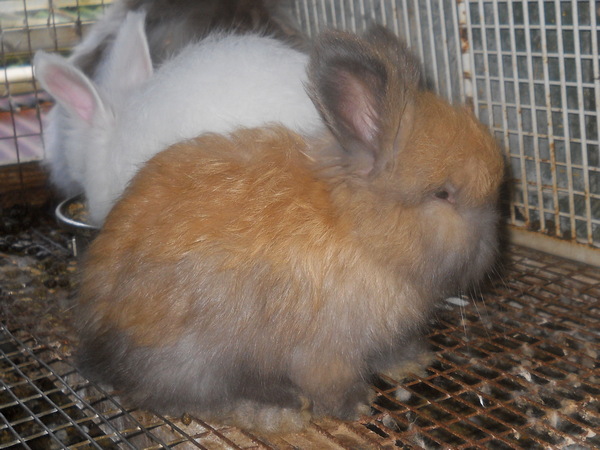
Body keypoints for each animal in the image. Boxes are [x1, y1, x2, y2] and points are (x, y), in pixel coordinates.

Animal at [76, 25, 506, 432]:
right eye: (443, 194)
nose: (492, 249)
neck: (359, 231)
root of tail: (97, 324)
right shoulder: (327, 351)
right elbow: (331, 384)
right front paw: (359, 405)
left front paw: (413, 361)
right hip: (193, 355)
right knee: (187, 397)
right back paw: (278, 408)